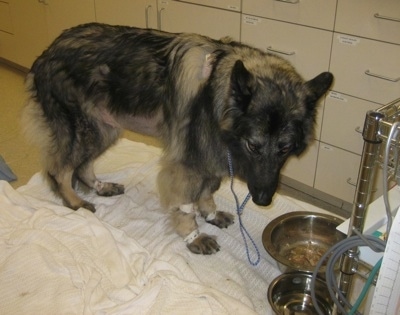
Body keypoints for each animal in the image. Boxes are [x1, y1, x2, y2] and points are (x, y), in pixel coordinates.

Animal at [22, 22, 334, 256]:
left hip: (105, 128)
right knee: (59, 170)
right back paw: (74, 202)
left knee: (83, 166)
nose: (263, 200)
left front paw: (211, 214)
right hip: (85, 129)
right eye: (253, 146)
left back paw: (100, 187)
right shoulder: (188, 161)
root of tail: (47, 51)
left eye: (285, 148)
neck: (217, 92)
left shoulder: (209, 155)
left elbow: (207, 190)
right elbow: (185, 204)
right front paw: (193, 236)